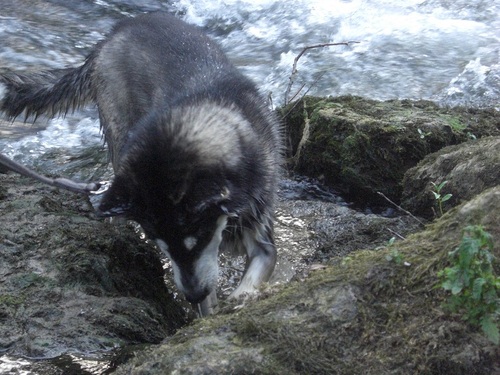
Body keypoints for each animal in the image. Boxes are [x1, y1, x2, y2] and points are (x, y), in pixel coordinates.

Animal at [0, 12, 282, 318]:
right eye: (161, 245)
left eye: (198, 240)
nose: (192, 295)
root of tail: (111, 35)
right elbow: (207, 303)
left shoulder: (258, 222)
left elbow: (259, 264)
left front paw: (241, 297)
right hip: (120, 134)